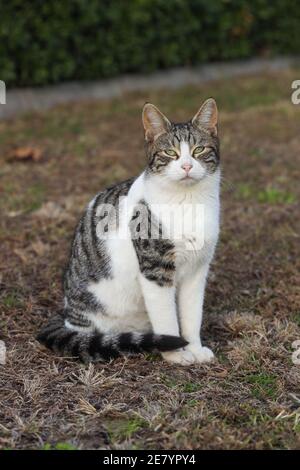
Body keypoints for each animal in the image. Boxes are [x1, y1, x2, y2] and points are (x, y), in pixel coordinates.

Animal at [37, 97, 220, 366]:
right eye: (170, 152)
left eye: (199, 150)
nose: (187, 166)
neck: (188, 201)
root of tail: (67, 313)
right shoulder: (155, 270)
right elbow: (167, 319)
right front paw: (176, 353)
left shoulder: (198, 270)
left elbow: (192, 315)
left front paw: (194, 348)